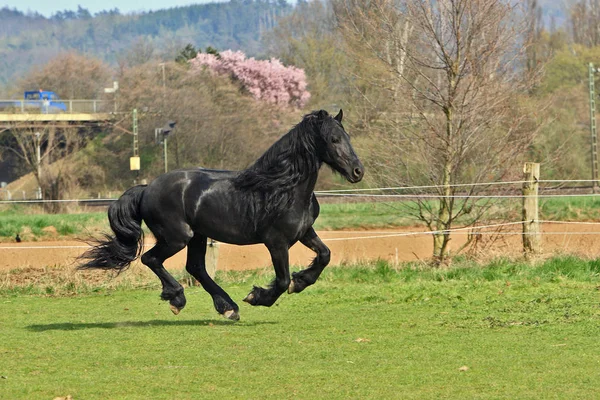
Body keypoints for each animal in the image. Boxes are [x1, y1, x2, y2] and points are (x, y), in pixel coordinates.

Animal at [79, 108, 360, 320]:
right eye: (333, 139)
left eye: (346, 136)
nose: (358, 171)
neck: (283, 188)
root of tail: (147, 188)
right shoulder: (276, 242)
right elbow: (281, 280)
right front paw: (258, 296)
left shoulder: (304, 231)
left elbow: (325, 255)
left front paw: (300, 281)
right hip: (177, 237)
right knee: (151, 259)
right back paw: (178, 298)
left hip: (198, 236)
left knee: (195, 267)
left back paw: (227, 308)